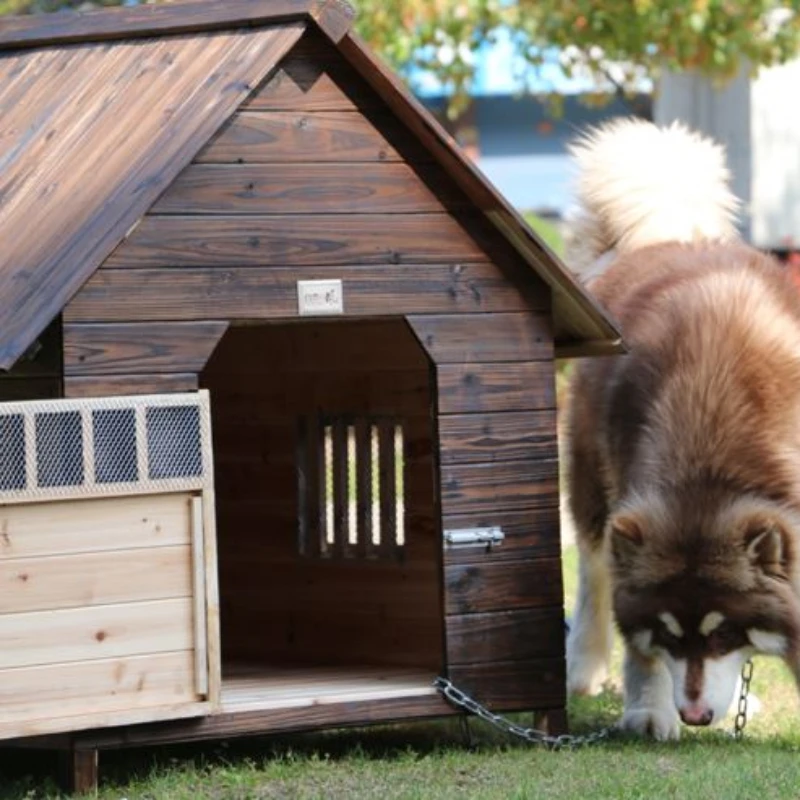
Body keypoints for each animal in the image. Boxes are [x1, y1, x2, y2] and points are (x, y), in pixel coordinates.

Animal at [564, 117, 800, 736]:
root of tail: (666, 237)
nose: (695, 715)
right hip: (590, 484)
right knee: (593, 575)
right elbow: (636, 646)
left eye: (725, 634)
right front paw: (649, 708)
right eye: (667, 634)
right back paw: (582, 667)